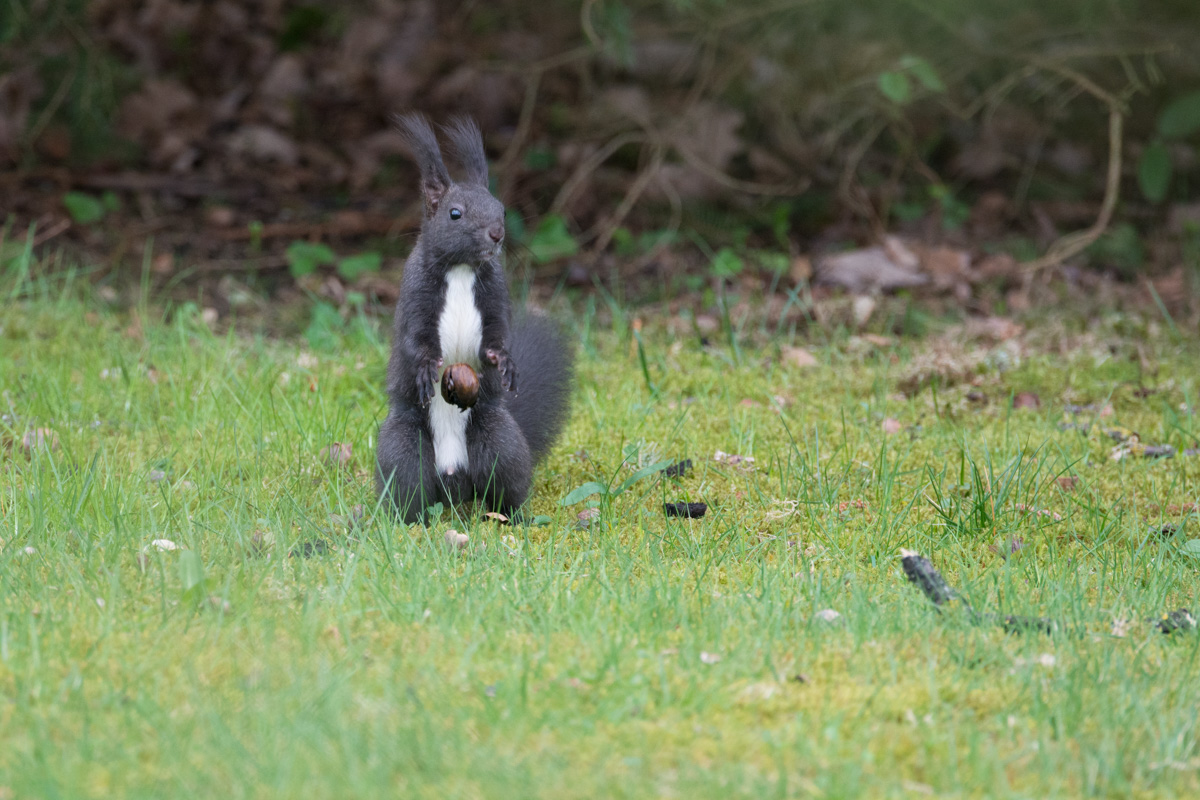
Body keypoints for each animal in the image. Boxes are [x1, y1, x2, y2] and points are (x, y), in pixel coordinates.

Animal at [376, 114, 574, 523]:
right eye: (455, 213)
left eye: (501, 209)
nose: (497, 234)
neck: (462, 269)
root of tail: (453, 480)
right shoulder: (415, 293)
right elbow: (415, 338)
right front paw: (426, 367)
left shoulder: (496, 294)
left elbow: (497, 334)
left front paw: (505, 362)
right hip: (404, 449)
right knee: (407, 488)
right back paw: (402, 524)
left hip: (500, 442)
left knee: (504, 484)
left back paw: (514, 519)